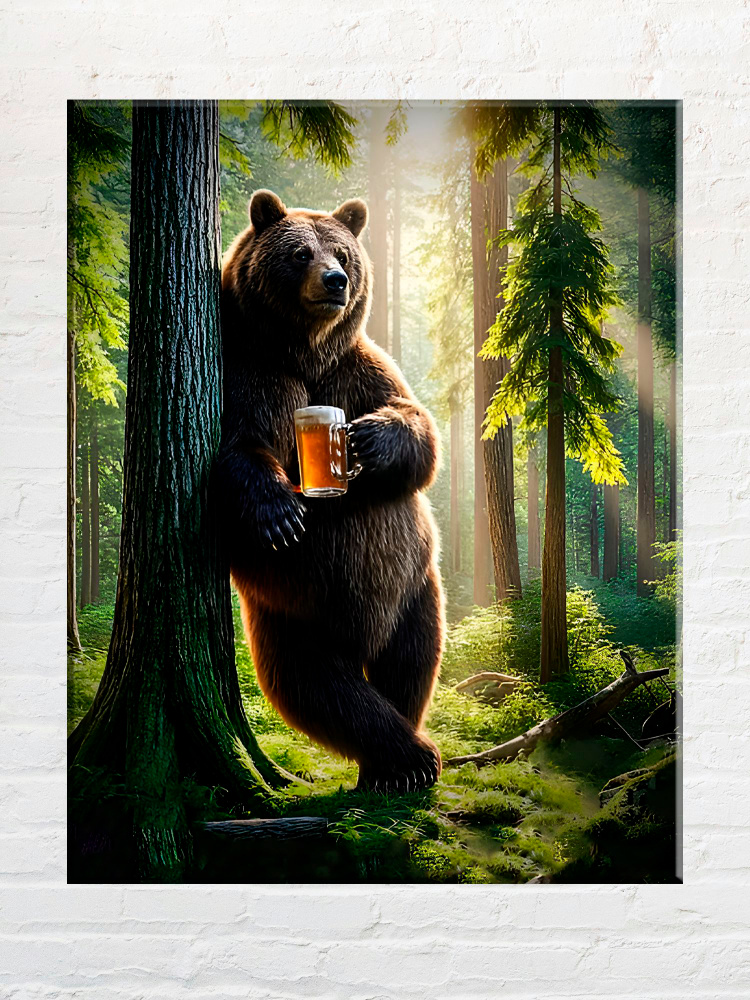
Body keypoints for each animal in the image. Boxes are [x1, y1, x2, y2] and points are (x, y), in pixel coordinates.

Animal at [217, 188, 444, 792]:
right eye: (300, 253)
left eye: (342, 251)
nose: (336, 280)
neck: (305, 350)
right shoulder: (252, 375)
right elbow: (241, 447)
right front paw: (281, 513)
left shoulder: (359, 369)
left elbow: (419, 434)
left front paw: (370, 439)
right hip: (295, 615)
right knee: (322, 689)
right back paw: (403, 758)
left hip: (414, 588)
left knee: (411, 662)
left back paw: (402, 761)